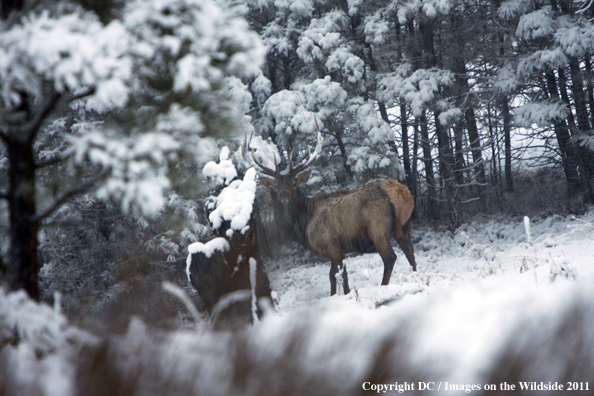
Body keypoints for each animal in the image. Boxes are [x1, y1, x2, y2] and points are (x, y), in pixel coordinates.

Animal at [245, 122, 416, 296]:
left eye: (294, 183)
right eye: (276, 185)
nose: (284, 194)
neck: (305, 224)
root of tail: (402, 192)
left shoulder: (332, 245)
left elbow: (340, 275)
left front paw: (345, 294)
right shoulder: (335, 250)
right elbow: (333, 275)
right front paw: (335, 294)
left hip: (378, 228)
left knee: (390, 257)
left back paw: (383, 287)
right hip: (403, 225)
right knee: (410, 250)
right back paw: (415, 277)